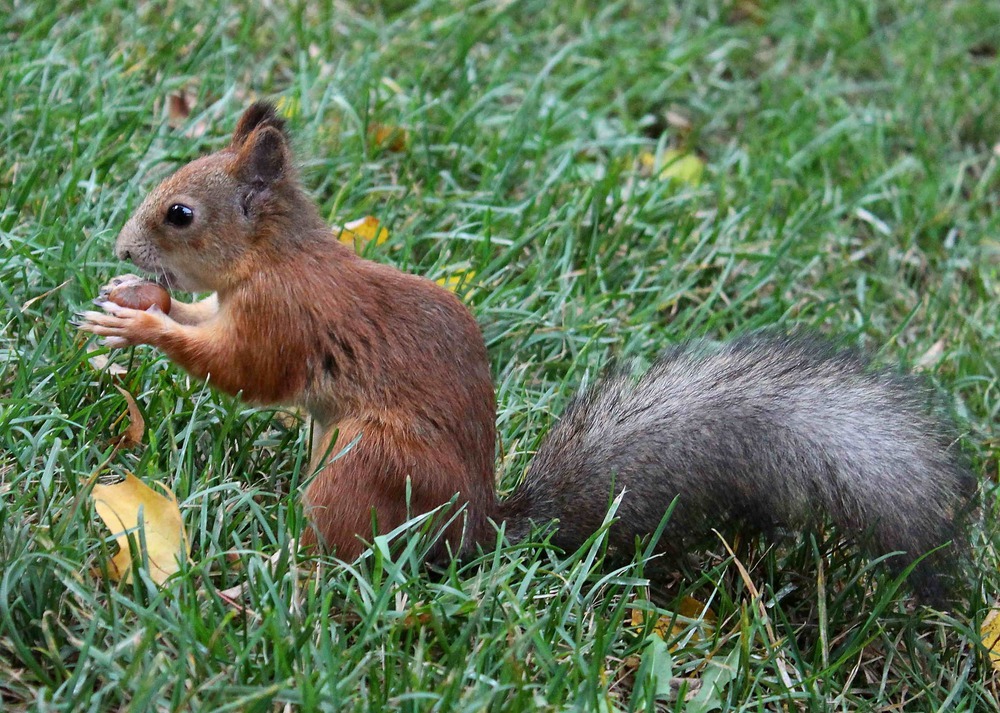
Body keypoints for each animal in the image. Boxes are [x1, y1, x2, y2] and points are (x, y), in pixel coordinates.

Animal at [80, 100, 976, 600]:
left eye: (180, 214)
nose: (123, 249)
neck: (275, 256)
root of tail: (475, 530)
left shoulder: (287, 317)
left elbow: (247, 372)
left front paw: (142, 326)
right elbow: (208, 325)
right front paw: (144, 301)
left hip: (369, 464)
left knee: (349, 550)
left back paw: (270, 573)